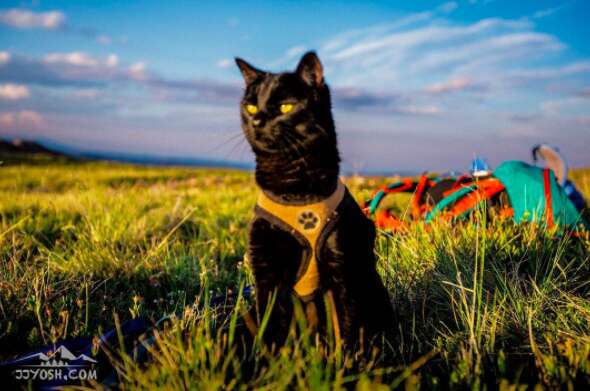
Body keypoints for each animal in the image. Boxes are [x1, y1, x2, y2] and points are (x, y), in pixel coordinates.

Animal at [235, 51, 394, 350]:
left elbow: (344, 326)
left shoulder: (342, 268)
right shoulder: (266, 271)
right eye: (250, 107)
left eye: (285, 106)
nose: (257, 120)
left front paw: (344, 361)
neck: (294, 190)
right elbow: (271, 327)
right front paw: (269, 361)